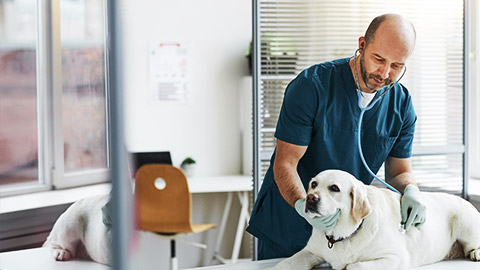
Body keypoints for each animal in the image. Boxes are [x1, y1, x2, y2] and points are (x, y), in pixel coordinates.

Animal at [266, 171, 480, 270]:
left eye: (334, 188)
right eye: (313, 184)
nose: (310, 198)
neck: (342, 236)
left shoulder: (395, 257)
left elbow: (354, 265)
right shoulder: (310, 252)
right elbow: (286, 263)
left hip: (465, 222)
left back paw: (475, 253)